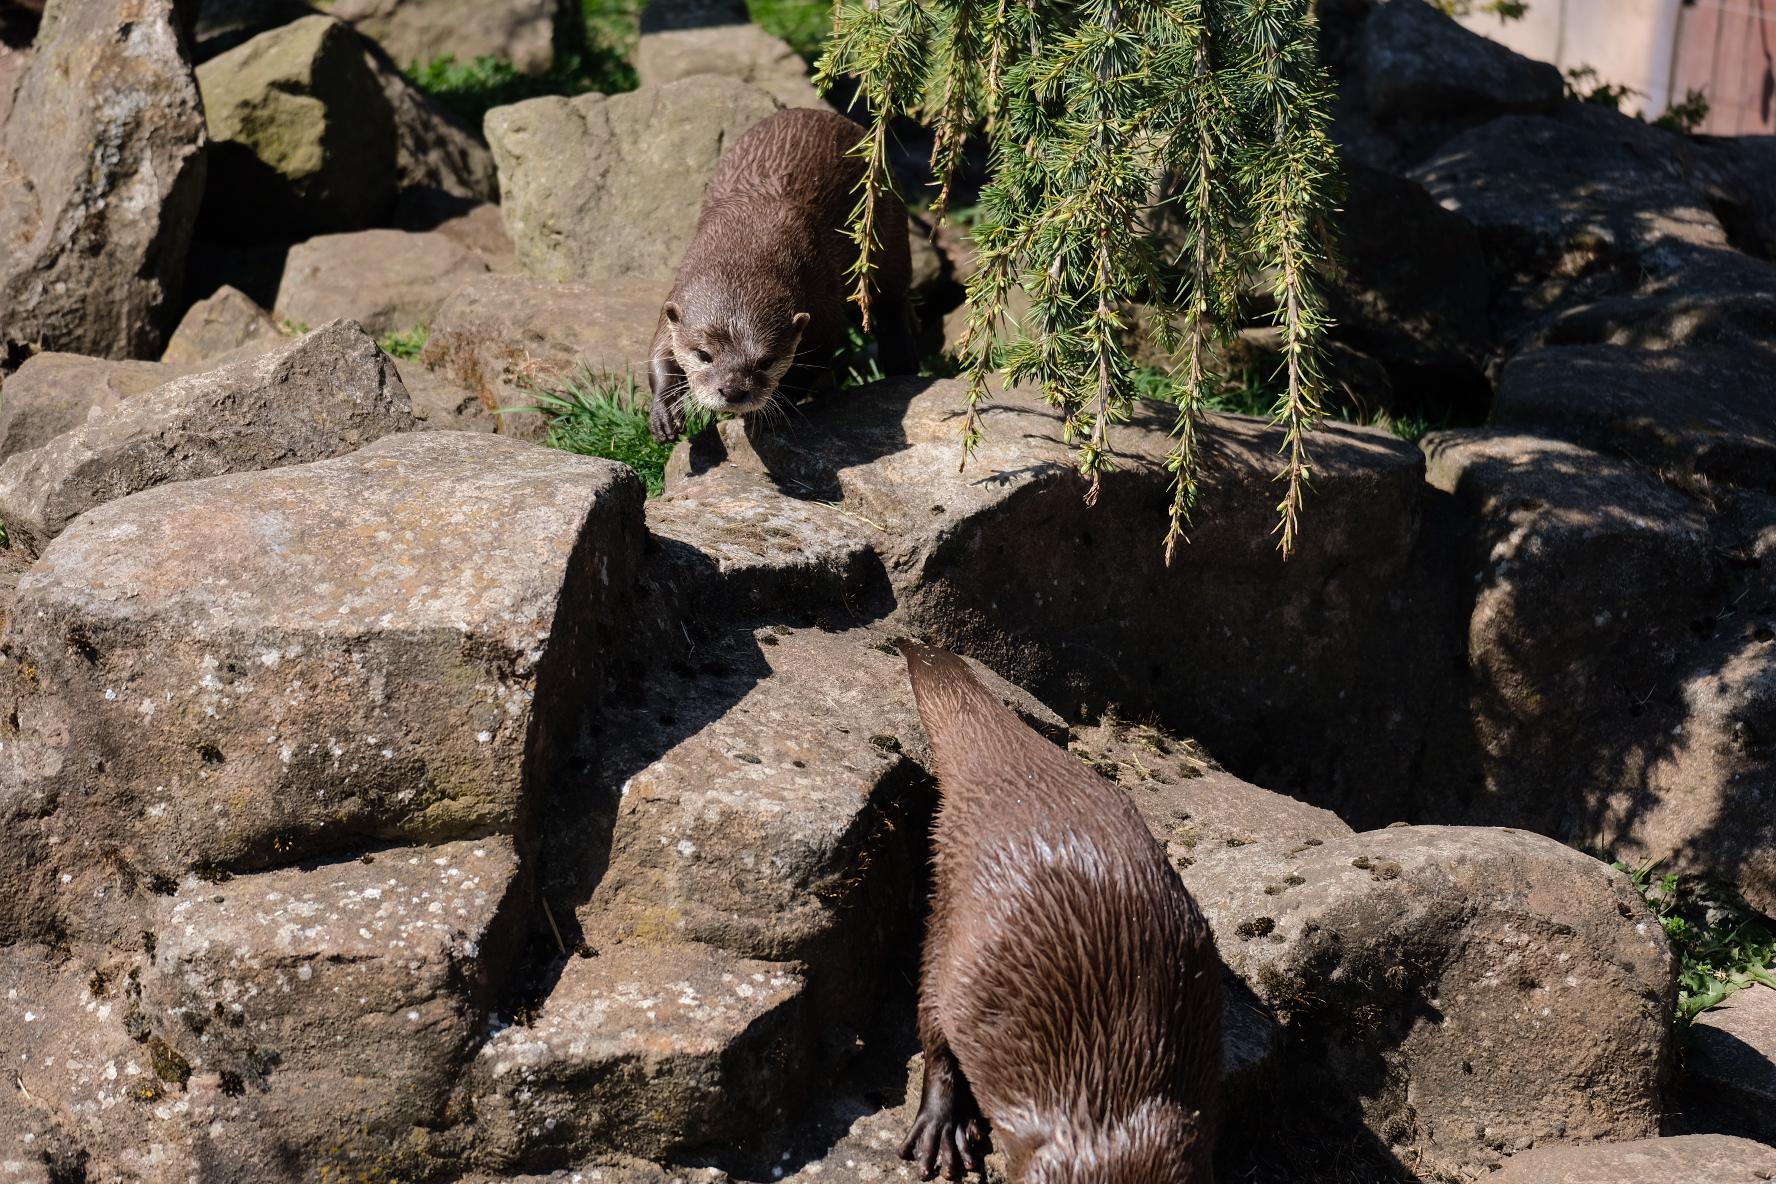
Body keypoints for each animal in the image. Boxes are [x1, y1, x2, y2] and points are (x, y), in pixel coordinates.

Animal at [646, 107, 917, 443]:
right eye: (703, 354)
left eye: (766, 361)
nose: (733, 392)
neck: (746, 242)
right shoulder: (674, 299)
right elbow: (659, 351)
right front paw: (664, 412)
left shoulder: (822, 306)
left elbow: (812, 362)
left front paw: (776, 408)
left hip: (889, 235)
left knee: (892, 301)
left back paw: (901, 364)